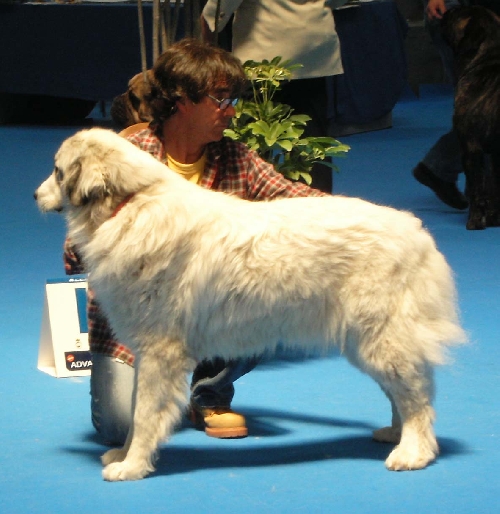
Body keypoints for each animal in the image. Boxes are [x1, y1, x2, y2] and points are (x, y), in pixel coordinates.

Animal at [35, 128, 464, 480]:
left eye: (57, 171)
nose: (35, 195)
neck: (130, 204)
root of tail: (417, 230)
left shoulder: (160, 351)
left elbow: (143, 416)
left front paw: (133, 466)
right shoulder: (147, 353)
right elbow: (138, 410)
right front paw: (124, 456)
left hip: (380, 339)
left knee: (417, 397)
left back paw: (413, 452)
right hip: (367, 343)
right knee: (402, 393)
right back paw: (396, 434)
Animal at [442, 6, 500, 229]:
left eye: (456, 14)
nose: (444, 12)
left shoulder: (470, 148)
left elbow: (477, 189)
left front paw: (474, 221)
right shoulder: (493, 154)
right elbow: (493, 187)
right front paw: (493, 219)